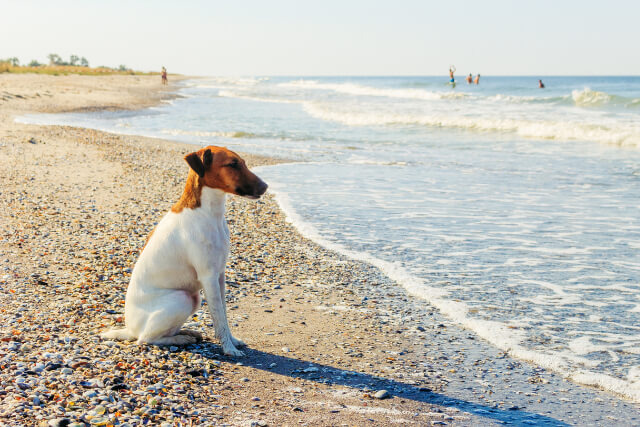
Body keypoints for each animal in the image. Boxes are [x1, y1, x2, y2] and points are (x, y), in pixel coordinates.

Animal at [101, 145, 266, 356]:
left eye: (243, 162)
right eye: (233, 164)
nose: (265, 186)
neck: (207, 213)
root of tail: (129, 329)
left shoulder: (220, 274)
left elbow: (224, 314)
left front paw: (233, 341)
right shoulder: (208, 276)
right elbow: (219, 318)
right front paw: (229, 349)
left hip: (193, 299)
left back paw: (187, 332)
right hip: (182, 298)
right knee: (145, 339)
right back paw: (180, 338)